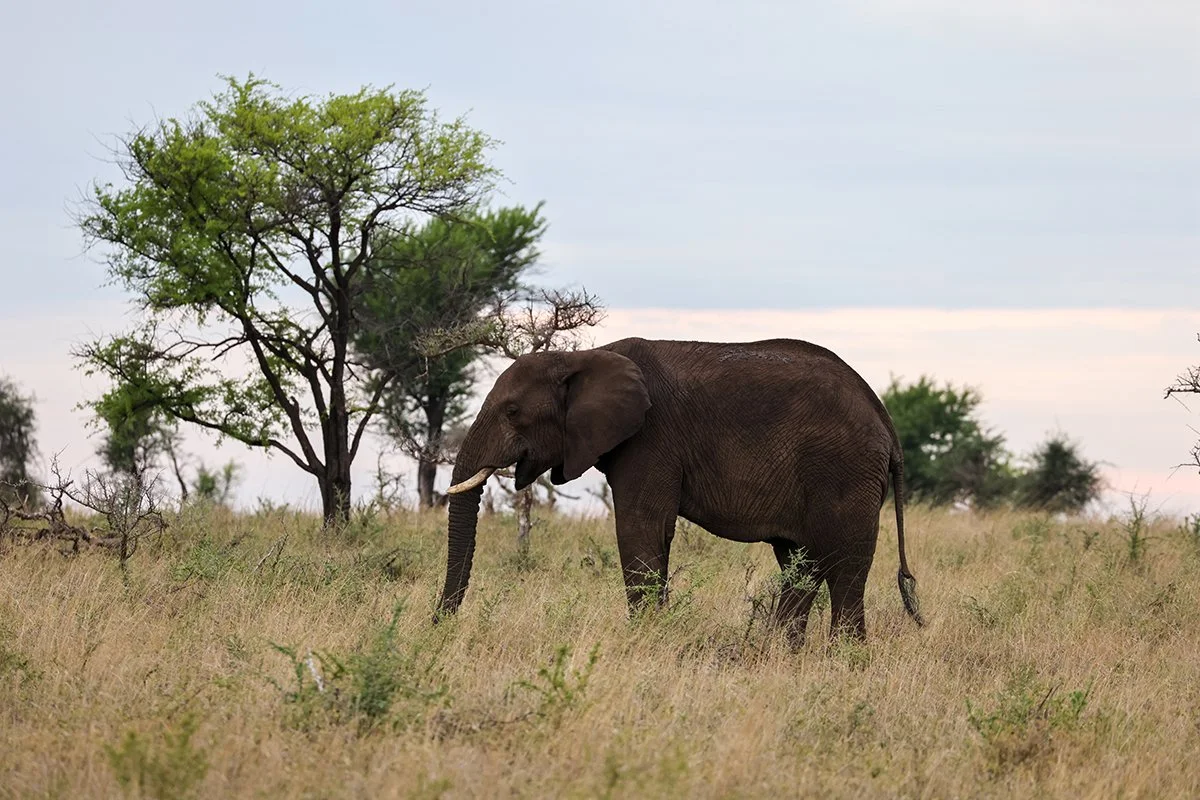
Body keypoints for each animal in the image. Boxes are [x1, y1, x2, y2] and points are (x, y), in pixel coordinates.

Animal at [436, 337, 924, 643]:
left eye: (512, 411)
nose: (439, 623)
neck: (583, 356)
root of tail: (885, 419)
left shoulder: (651, 439)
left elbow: (641, 528)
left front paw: (645, 640)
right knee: (801, 564)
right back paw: (780, 655)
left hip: (846, 472)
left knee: (845, 568)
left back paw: (845, 659)